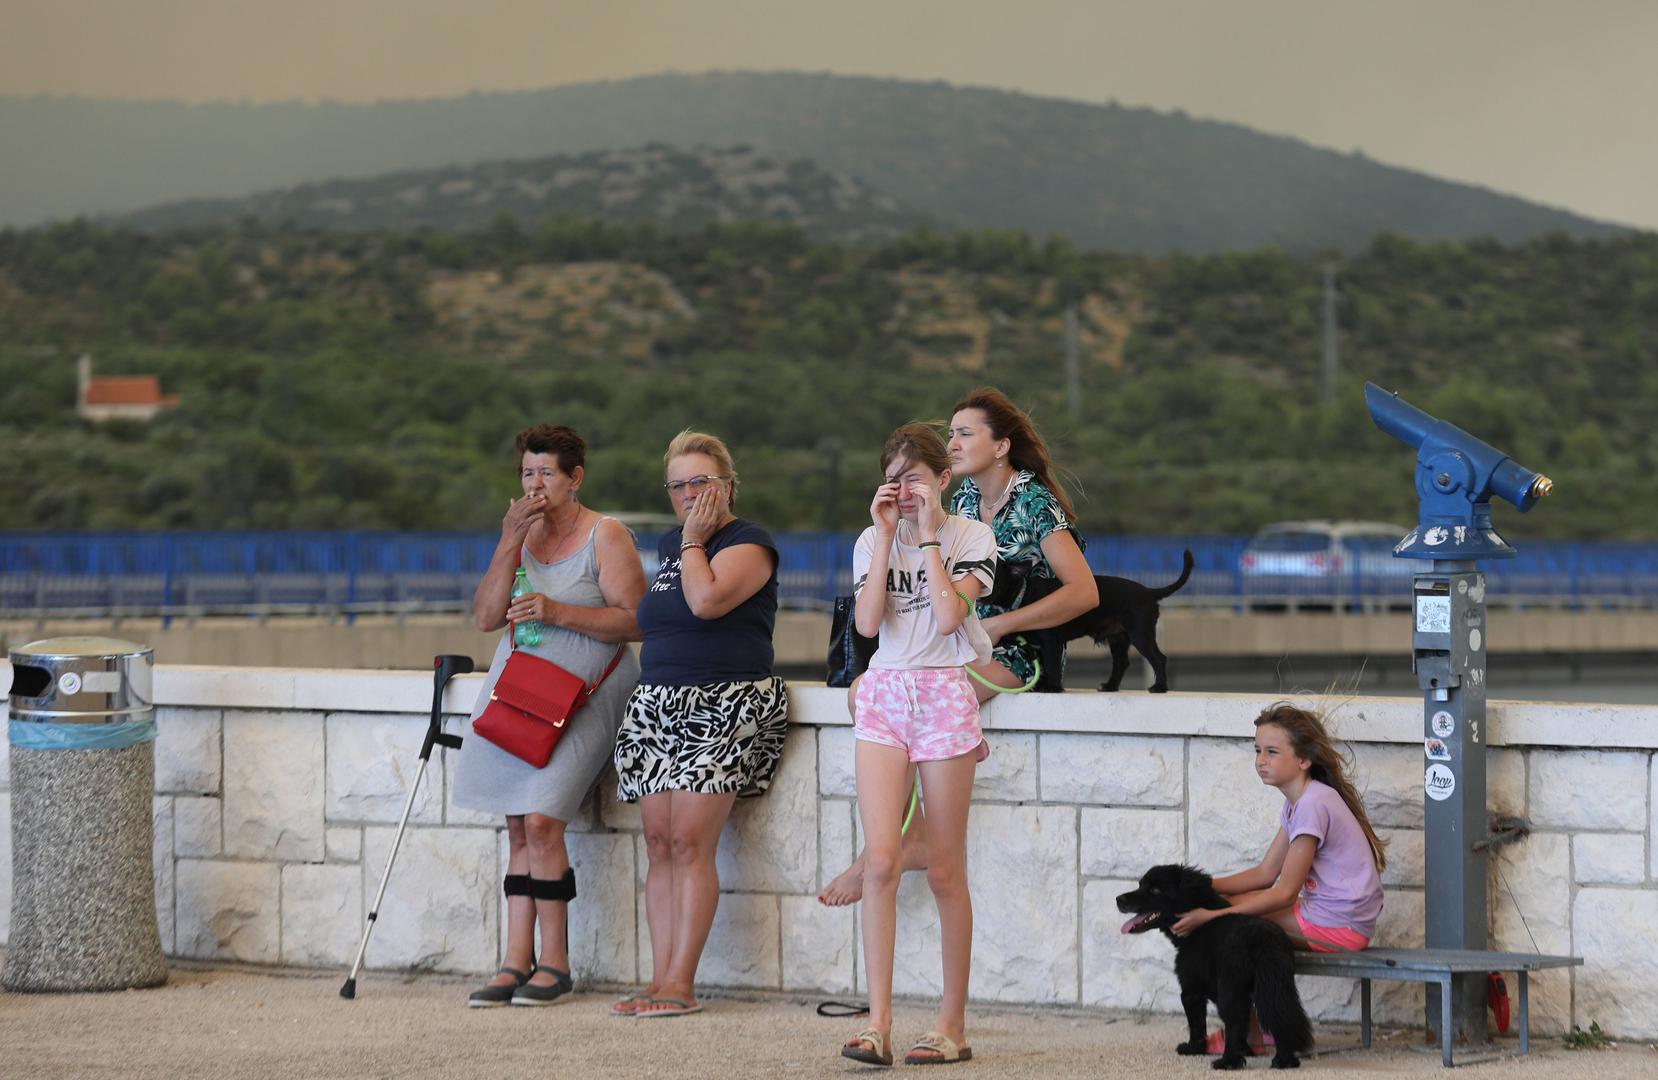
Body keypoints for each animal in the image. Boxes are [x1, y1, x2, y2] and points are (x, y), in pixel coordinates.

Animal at [981, 550, 1193, 693]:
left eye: (992, 577)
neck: (1023, 593)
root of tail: (1149, 592)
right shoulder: (1039, 646)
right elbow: (1043, 666)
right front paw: (1042, 684)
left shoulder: (1051, 642)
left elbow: (1052, 664)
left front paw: (1053, 687)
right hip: (1118, 638)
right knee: (1122, 662)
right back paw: (1110, 686)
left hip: (1140, 634)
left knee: (1158, 658)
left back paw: (1160, 687)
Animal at [1120, 869, 1313, 1068]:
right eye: (1140, 884)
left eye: (1155, 890)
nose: (1119, 900)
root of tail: (1262, 938)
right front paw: (1246, 1051)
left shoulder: (1191, 990)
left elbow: (1197, 1026)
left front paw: (1193, 1049)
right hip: (1276, 986)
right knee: (1281, 1017)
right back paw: (1284, 1061)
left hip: (1231, 988)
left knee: (1235, 1020)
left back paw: (1228, 1062)